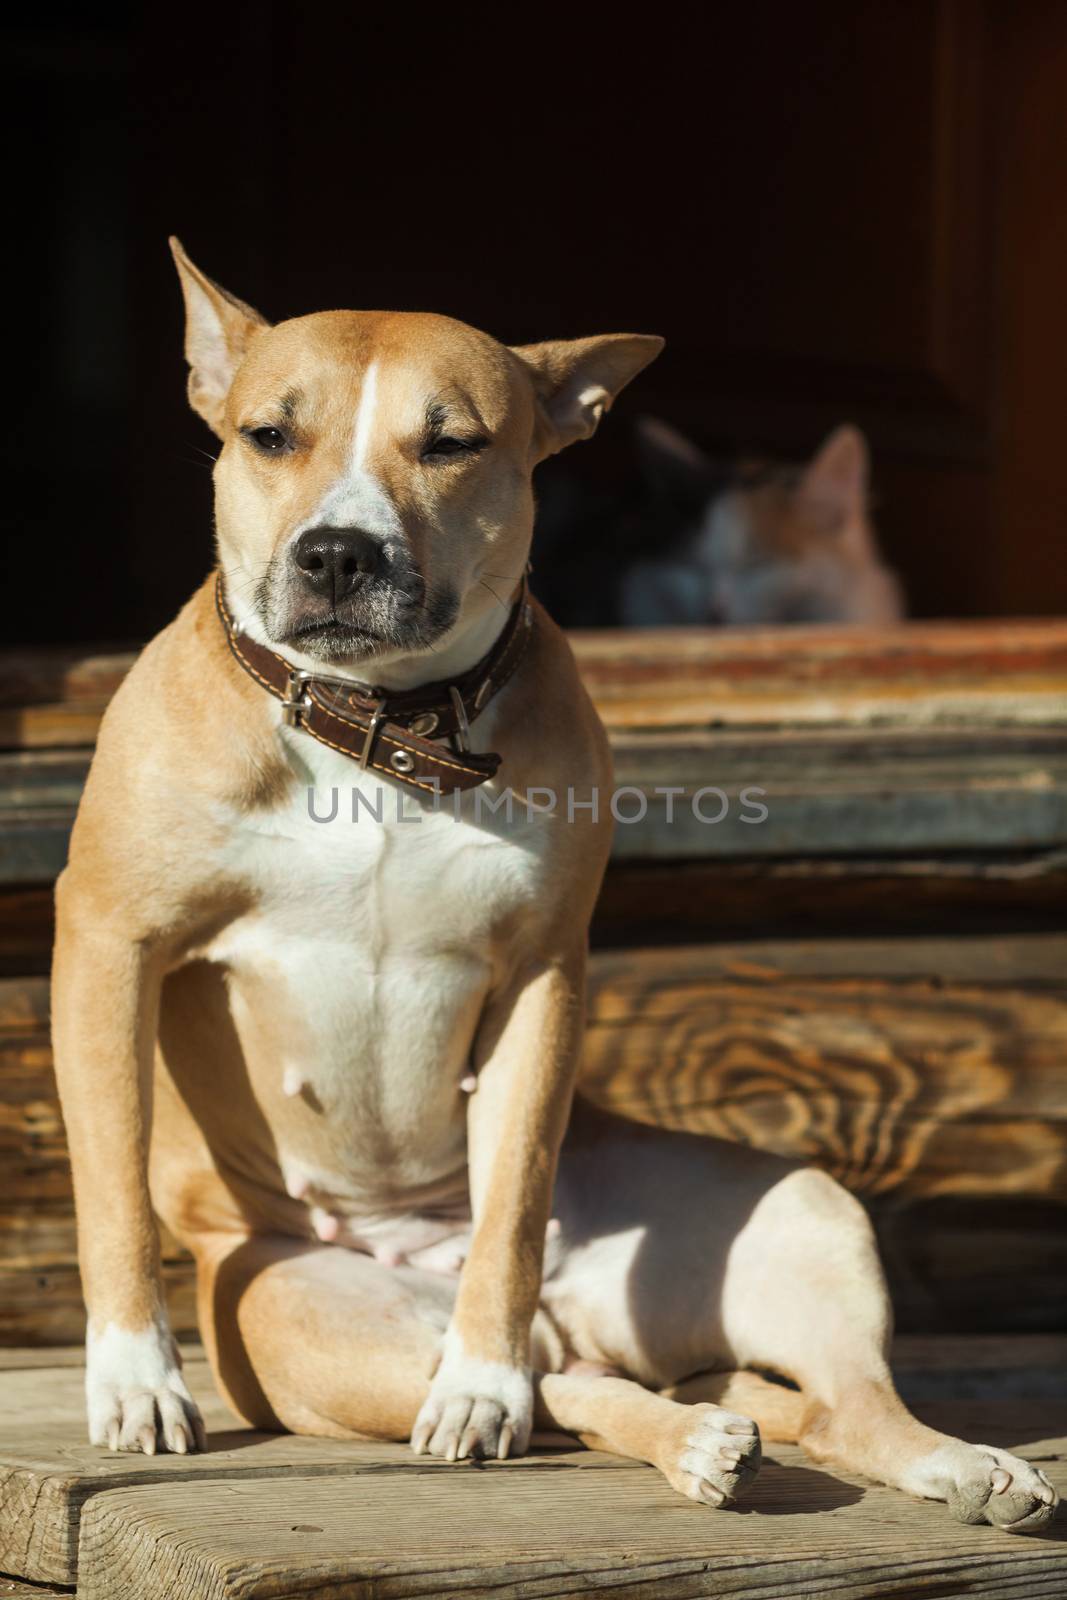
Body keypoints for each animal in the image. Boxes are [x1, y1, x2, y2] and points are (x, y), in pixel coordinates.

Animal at [47, 243, 1049, 1529]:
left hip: (801, 1214)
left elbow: (514, 1198)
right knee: (578, 1388)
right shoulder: (108, 944)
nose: (337, 551)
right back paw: (688, 1439)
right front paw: (134, 1380)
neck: (385, 730)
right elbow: (111, 1185)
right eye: (268, 435)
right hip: (315, 1316)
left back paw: (940, 1461)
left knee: (801, 1395)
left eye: (451, 444)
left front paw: (482, 1366)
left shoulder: (540, 975)